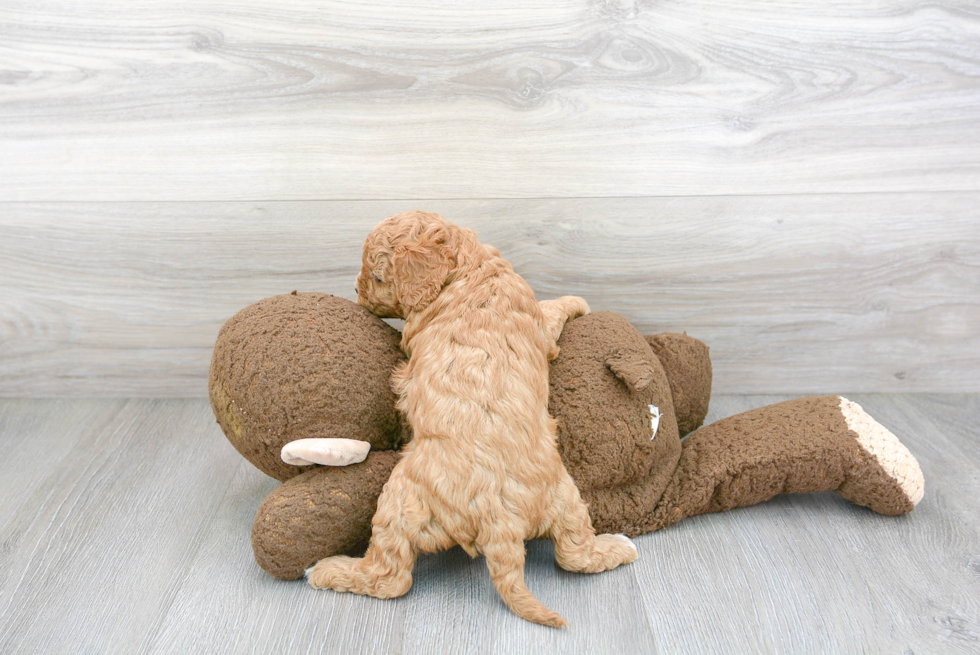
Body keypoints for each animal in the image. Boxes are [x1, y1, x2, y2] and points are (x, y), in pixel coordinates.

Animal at [310, 213, 640, 628]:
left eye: (378, 277)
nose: (355, 288)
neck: (469, 272)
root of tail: (498, 520)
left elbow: (551, 309)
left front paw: (575, 300)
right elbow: (549, 310)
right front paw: (577, 300)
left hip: (401, 500)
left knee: (390, 577)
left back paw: (327, 568)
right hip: (565, 497)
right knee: (573, 553)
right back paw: (619, 547)